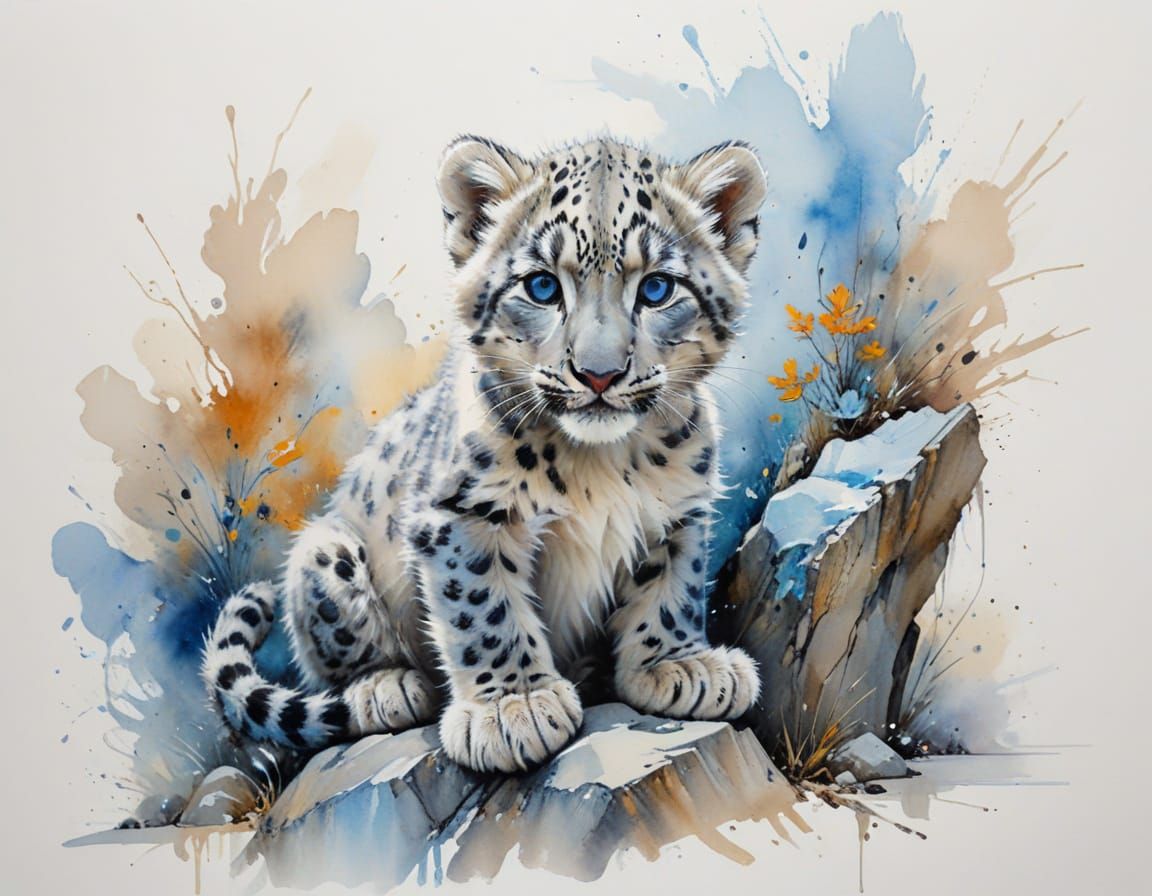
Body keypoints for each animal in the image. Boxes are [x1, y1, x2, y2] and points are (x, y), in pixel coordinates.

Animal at [202, 134, 767, 774]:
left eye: (657, 288)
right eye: (542, 286)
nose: (598, 374)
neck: (601, 464)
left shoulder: (679, 511)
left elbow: (672, 587)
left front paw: (676, 663)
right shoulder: (461, 514)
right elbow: (483, 606)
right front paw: (512, 707)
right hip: (326, 551)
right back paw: (386, 686)